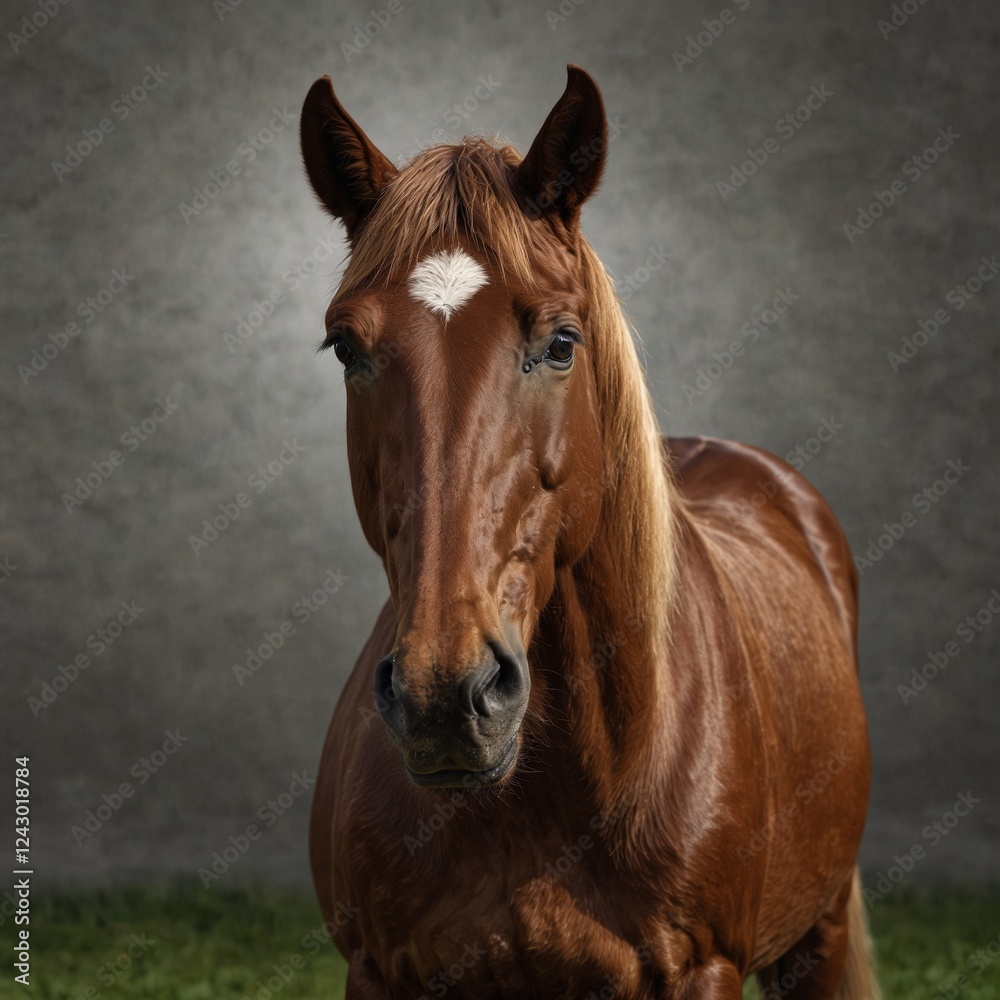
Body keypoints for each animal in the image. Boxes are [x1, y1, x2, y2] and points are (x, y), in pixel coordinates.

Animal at [299, 65, 877, 1000]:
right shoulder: (379, 974)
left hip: (817, 936)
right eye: (347, 348)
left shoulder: (704, 971)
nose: (442, 697)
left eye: (562, 342)